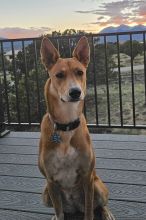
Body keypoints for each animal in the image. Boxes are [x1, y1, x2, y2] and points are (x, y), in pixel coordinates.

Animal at [38, 36, 115, 220]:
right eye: (59, 75)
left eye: (80, 72)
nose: (75, 92)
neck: (66, 125)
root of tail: (74, 207)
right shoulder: (50, 181)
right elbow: (59, 212)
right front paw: (56, 216)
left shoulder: (87, 177)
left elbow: (89, 211)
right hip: (45, 193)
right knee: (61, 210)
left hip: (98, 186)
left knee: (100, 205)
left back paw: (107, 213)